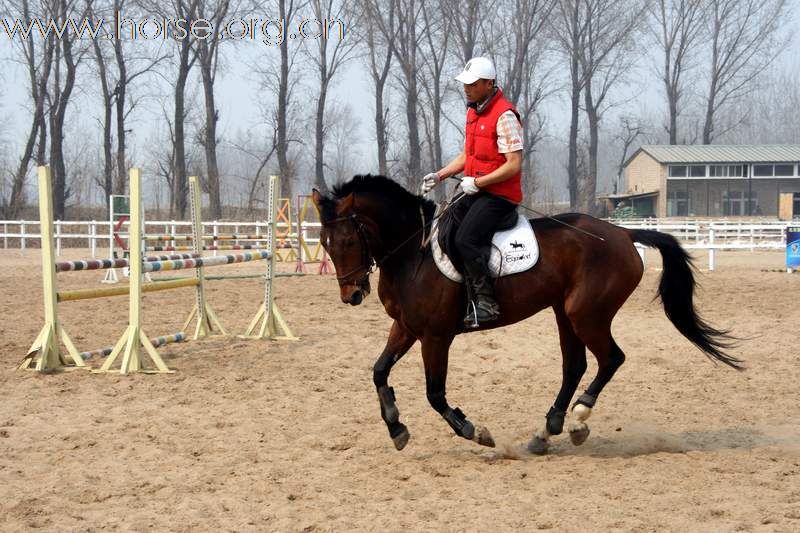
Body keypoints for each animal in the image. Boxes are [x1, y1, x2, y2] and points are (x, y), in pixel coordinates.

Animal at [310, 175, 736, 454]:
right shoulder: (406, 327)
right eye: (325, 243)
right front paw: (396, 427)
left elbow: (434, 393)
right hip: (565, 313)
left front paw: (474, 430)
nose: (352, 294)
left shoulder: (435, 335)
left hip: (586, 314)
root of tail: (621, 234)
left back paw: (579, 418)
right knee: (575, 366)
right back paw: (548, 431)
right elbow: (379, 371)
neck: (413, 252)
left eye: (348, 240)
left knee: (611, 358)